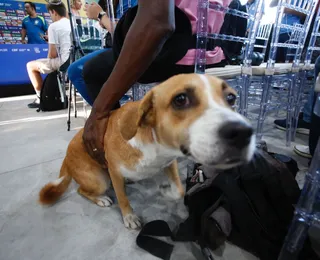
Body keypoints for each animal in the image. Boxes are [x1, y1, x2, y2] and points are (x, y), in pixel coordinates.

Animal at [39, 73, 255, 230]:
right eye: (180, 99)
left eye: (231, 98)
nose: (244, 133)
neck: (155, 145)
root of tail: (66, 158)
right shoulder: (114, 172)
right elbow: (123, 198)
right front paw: (129, 217)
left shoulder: (170, 162)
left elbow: (179, 190)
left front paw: (166, 191)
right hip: (100, 180)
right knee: (81, 190)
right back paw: (101, 199)